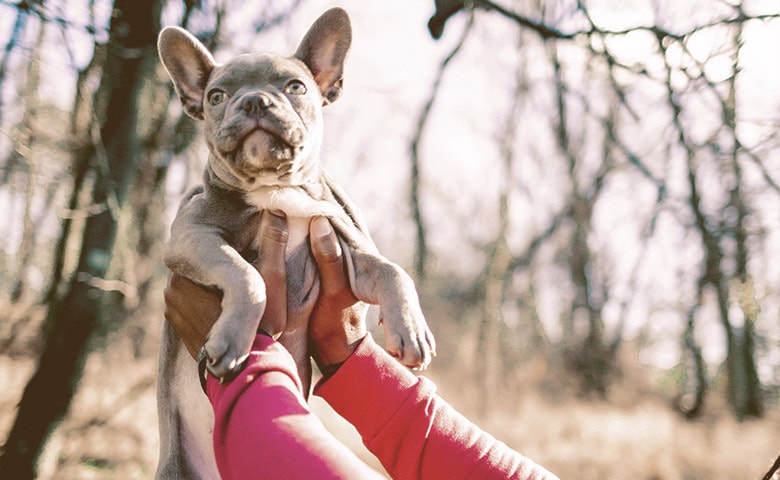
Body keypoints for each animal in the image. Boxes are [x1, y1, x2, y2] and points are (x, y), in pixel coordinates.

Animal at [155, 8, 436, 480]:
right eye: (216, 96)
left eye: (295, 87)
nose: (253, 101)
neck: (277, 189)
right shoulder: (192, 237)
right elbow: (247, 276)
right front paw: (233, 339)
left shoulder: (349, 249)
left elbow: (394, 270)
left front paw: (411, 329)